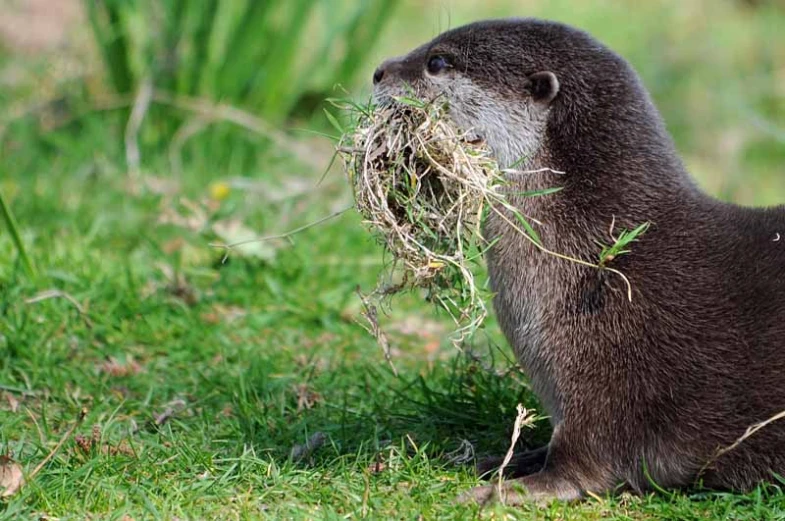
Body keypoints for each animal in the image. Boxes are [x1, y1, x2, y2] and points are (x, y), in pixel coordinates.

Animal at [370, 18, 784, 502]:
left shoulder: (606, 383)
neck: (598, 264)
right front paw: (499, 460)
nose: (378, 71)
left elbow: (581, 467)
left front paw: (500, 492)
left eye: (438, 62)